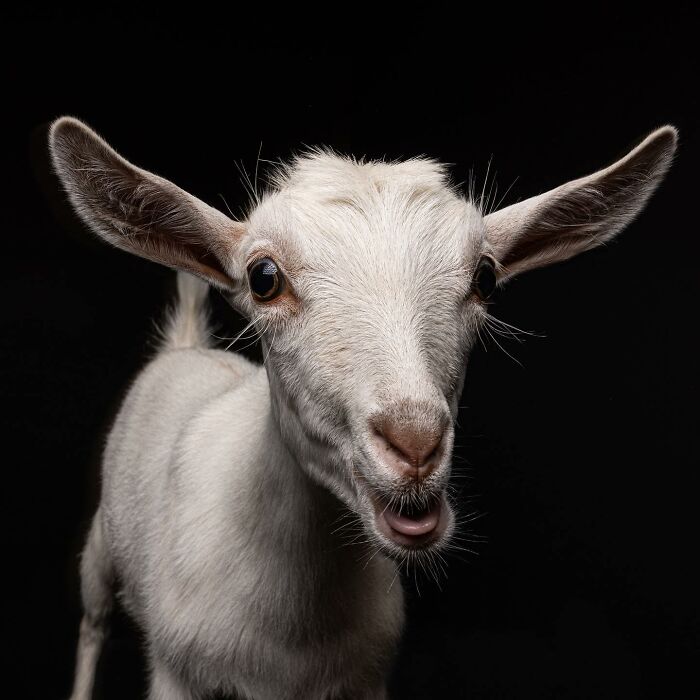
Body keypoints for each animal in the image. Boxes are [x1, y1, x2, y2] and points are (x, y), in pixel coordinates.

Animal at [50, 118, 677, 699]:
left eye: (485, 277)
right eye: (263, 277)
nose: (415, 444)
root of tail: (184, 346)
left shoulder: (364, 678)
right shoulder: (178, 676)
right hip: (100, 547)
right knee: (93, 620)